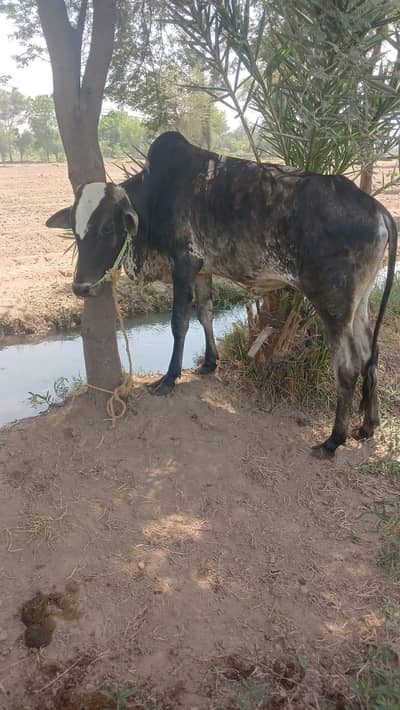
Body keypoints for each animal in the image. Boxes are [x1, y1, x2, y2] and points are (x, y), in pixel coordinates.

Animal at [46, 132, 397, 457]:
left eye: (107, 228)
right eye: (76, 231)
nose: (81, 287)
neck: (156, 194)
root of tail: (378, 209)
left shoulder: (183, 263)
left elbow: (179, 323)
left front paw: (169, 378)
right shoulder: (202, 270)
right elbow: (205, 313)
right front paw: (209, 363)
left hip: (333, 305)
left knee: (348, 366)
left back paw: (333, 440)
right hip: (358, 304)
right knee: (371, 353)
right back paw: (368, 425)